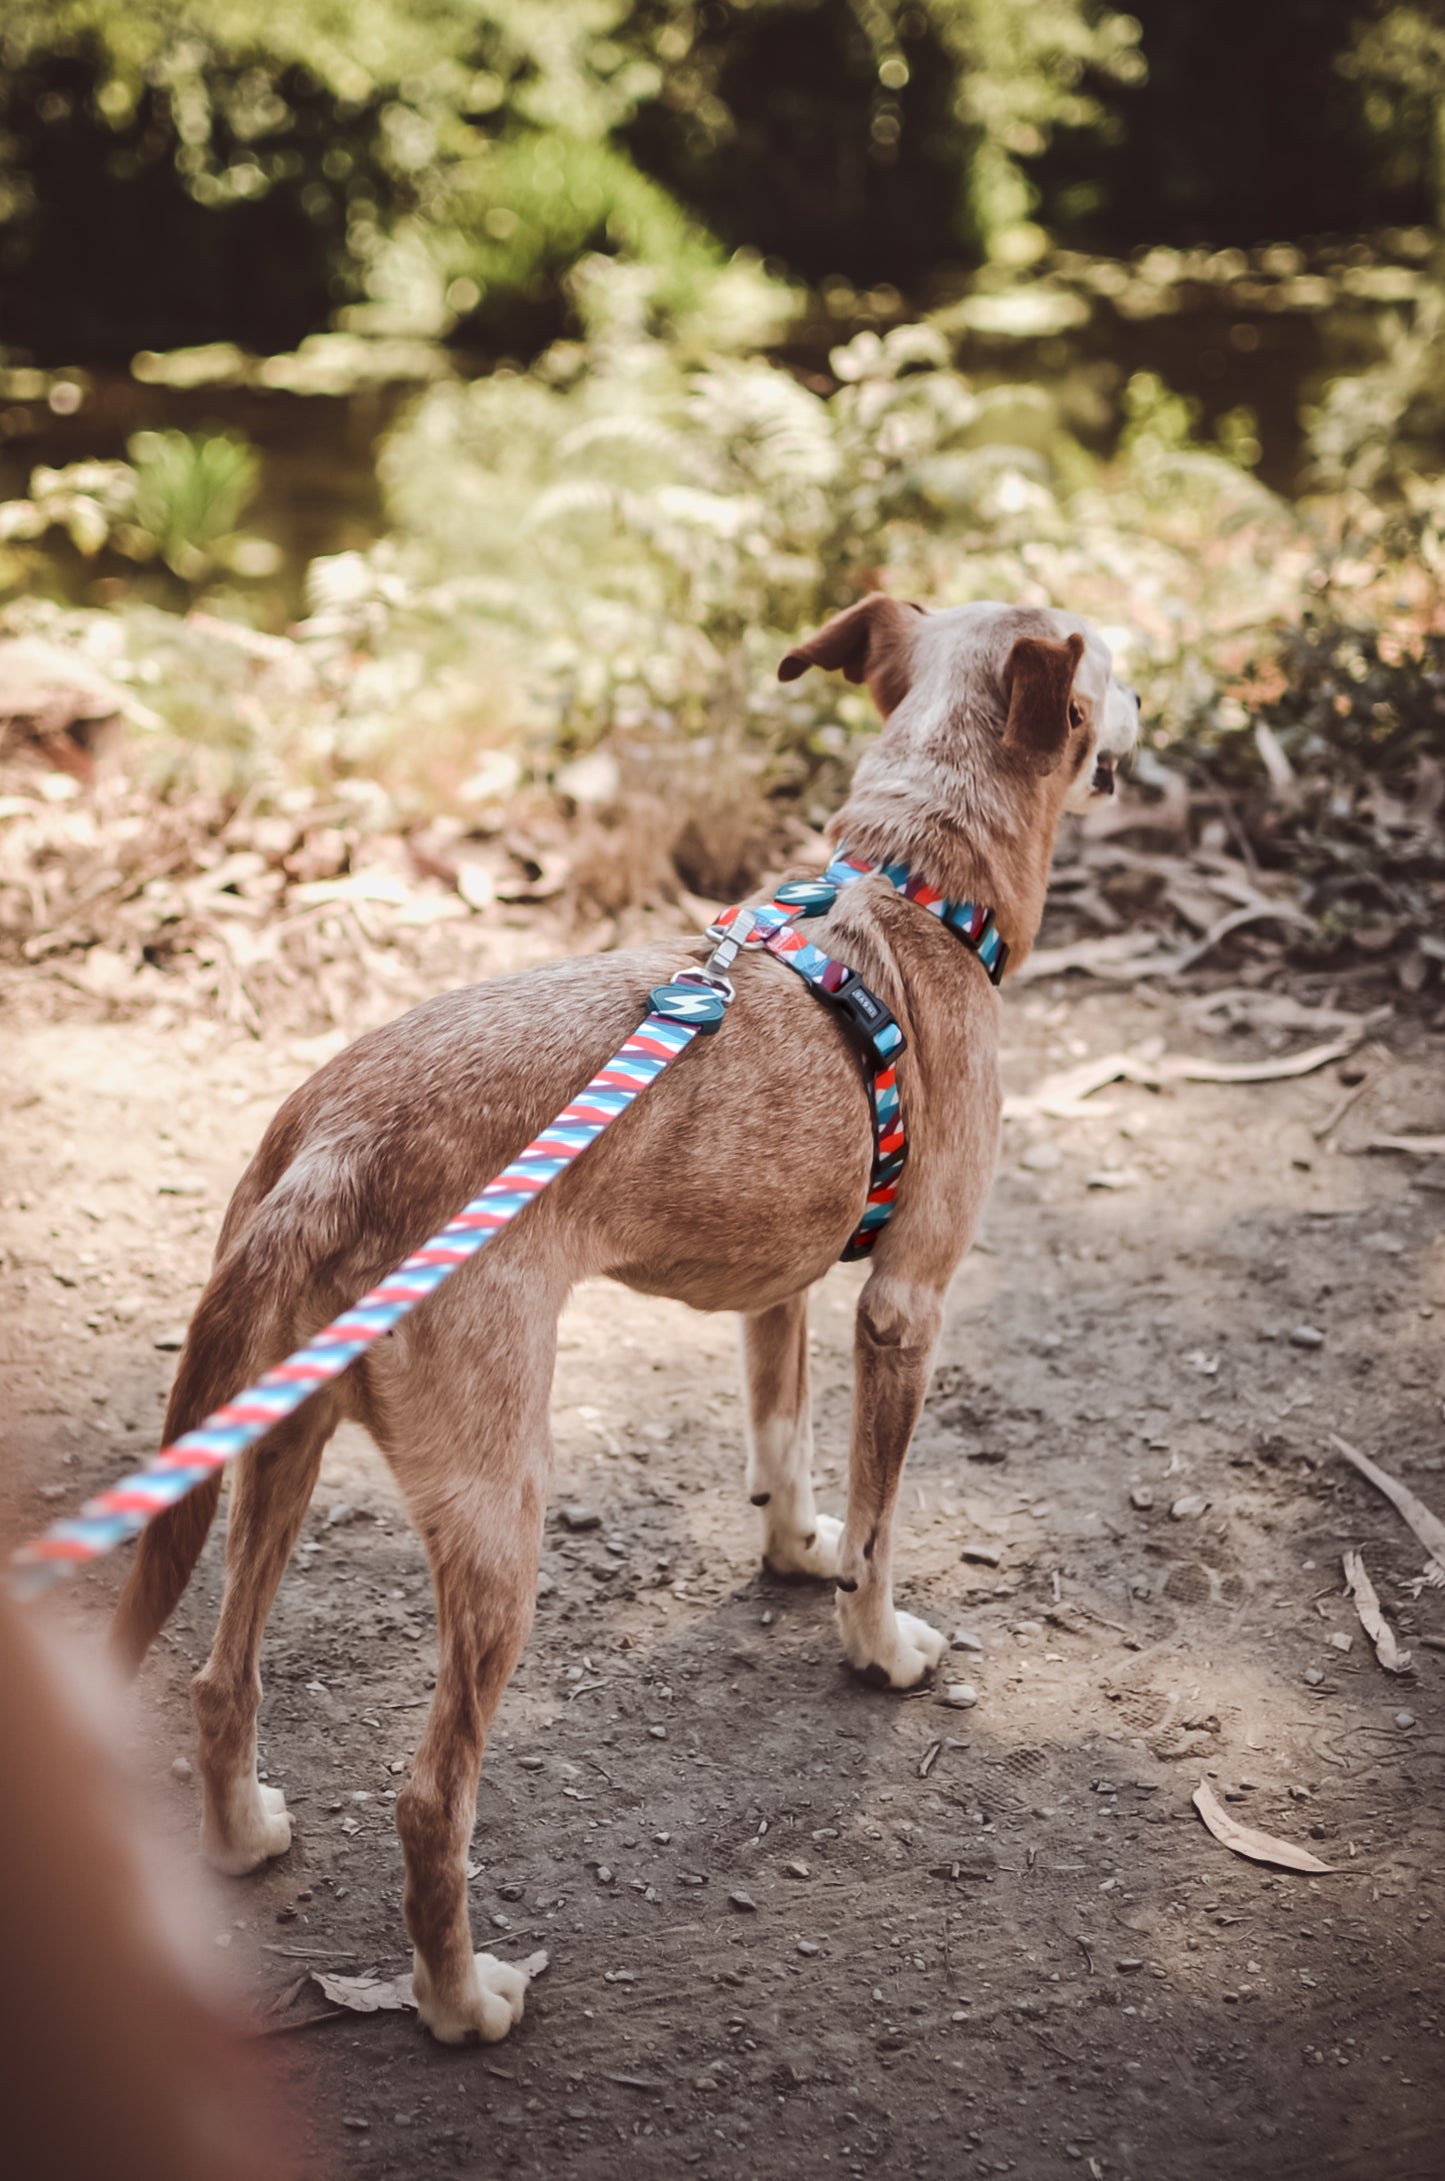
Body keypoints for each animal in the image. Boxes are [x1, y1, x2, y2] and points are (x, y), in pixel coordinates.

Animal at [110, 597, 1142, 2041]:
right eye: (1099, 653)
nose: (1151, 676)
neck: (915, 884)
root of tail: (336, 1145)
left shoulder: (779, 1288)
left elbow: (781, 1435)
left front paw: (795, 1547)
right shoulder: (904, 1308)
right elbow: (883, 1528)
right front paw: (875, 1644)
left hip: (284, 1438)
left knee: (221, 1675)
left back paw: (242, 1835)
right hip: (500, 1519)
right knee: (429, 1797)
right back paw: (458, 2001)